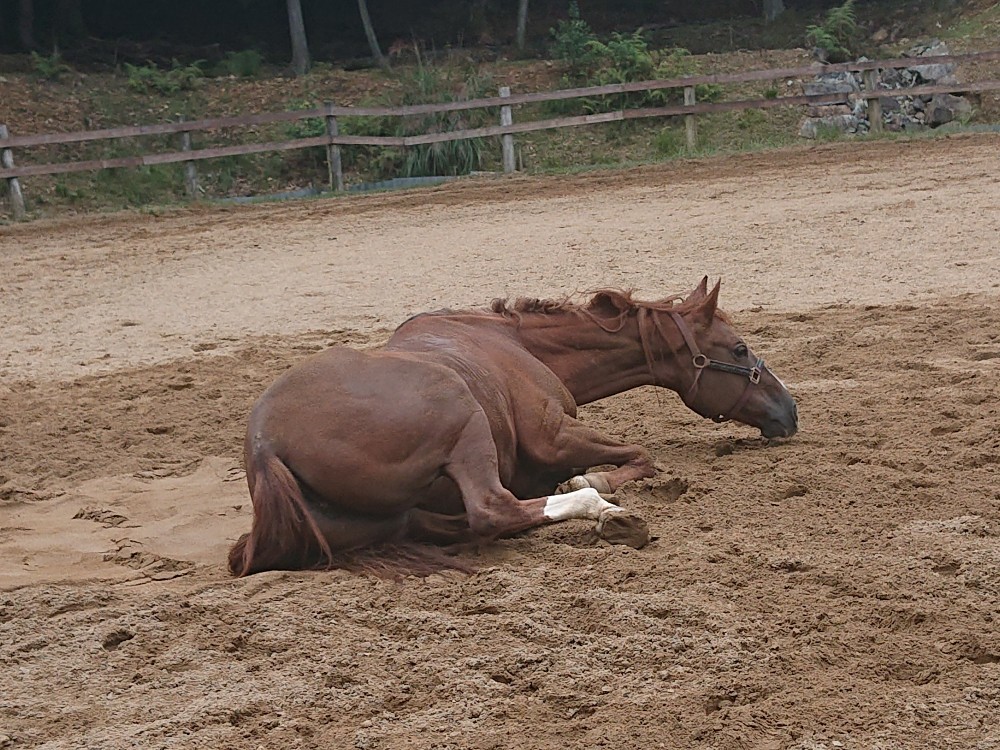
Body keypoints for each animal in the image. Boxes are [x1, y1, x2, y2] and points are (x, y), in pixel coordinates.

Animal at [227, 280, 796, 580]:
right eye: (739, 348)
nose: (790, 411)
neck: (520, 346)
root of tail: (264, 443)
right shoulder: (553, 435)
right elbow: (640, 455)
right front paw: (591, 483)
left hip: (387, 521)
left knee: (467, 524)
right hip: (465, 420)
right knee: (491, 510)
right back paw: (607, 513)